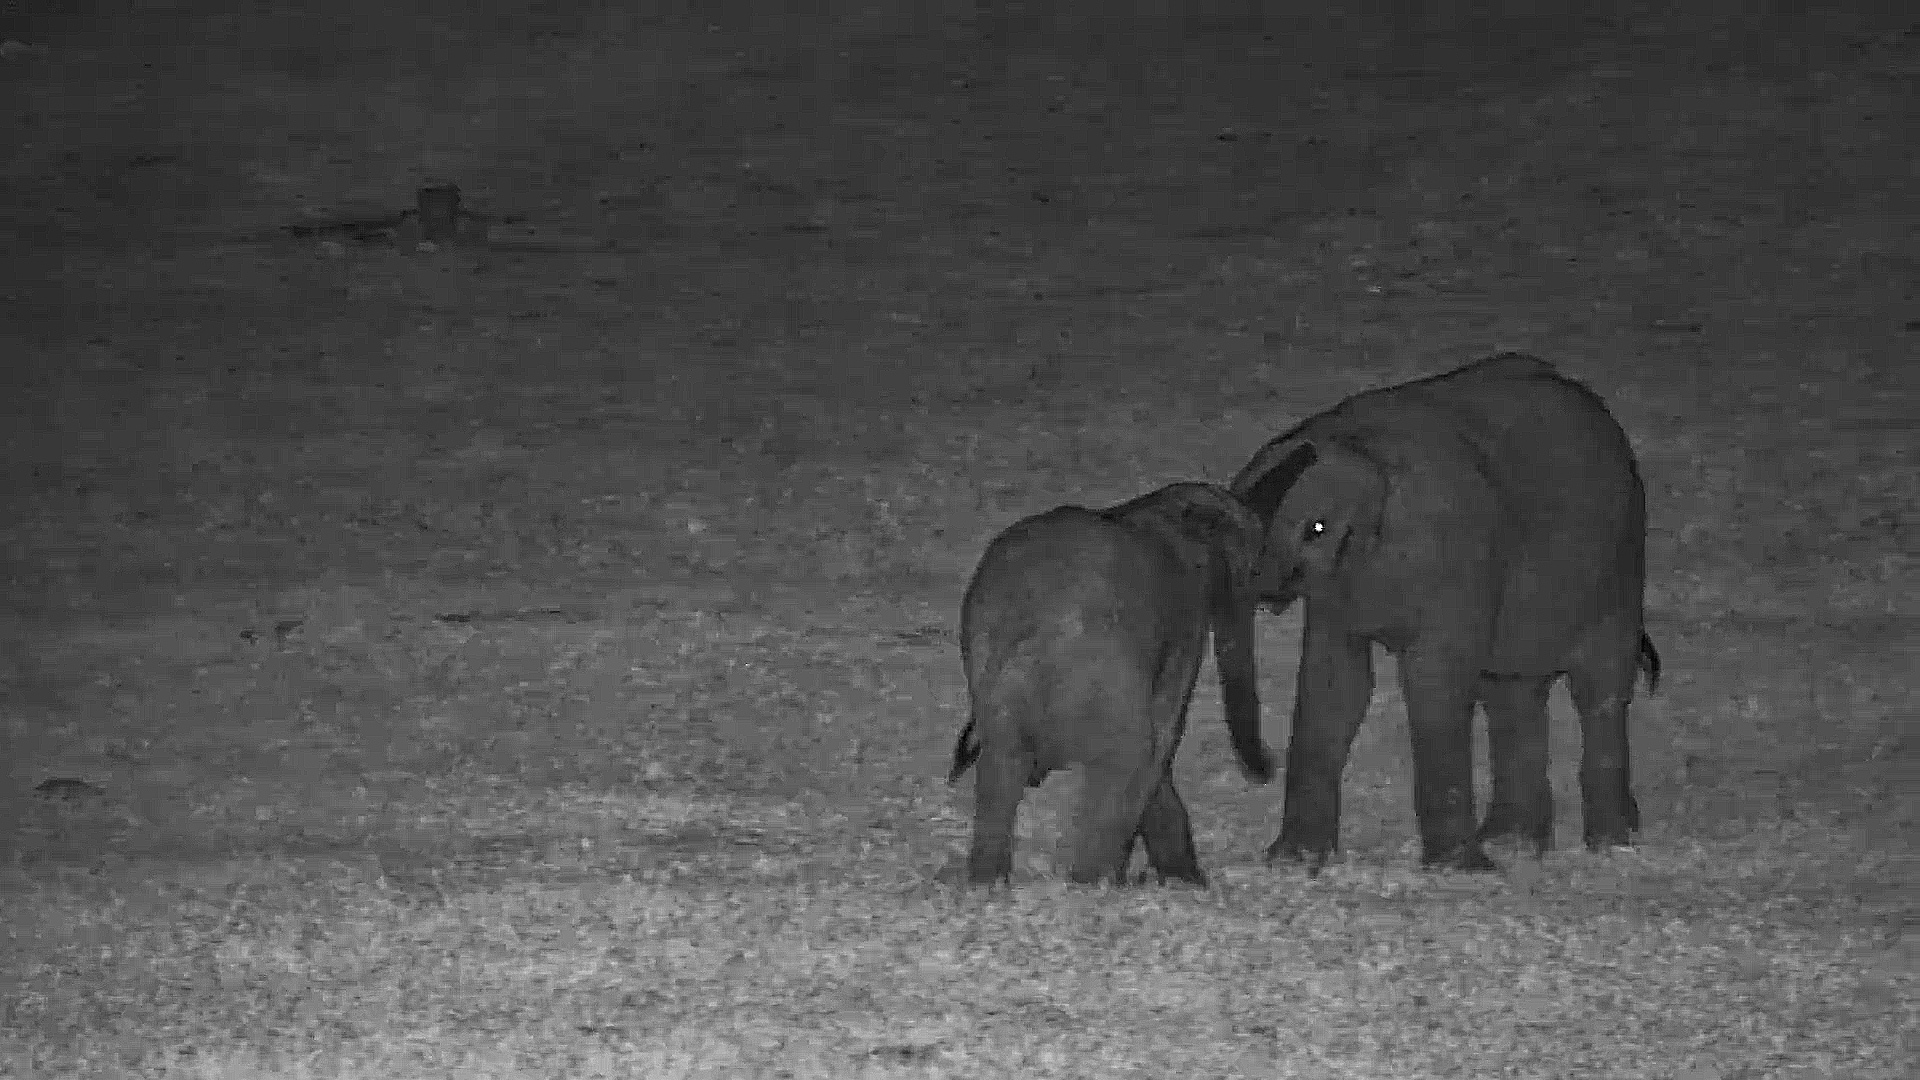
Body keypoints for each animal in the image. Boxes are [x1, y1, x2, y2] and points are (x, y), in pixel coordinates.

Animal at [947, 482, 1276, 886]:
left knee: (1000, 766)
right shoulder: (1186, 620)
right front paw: (1183, 880)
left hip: (1001, 697)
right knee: (1126, 759)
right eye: (1251, 570)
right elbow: (1164, 736)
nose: (1269, 768)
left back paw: (989, 883)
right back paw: (1095, 883)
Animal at [1231, 352, 1661, 873]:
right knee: (1511, 690)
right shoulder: (1341, 584)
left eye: (1317, 528)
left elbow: (1433, 680)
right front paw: (1293, 862)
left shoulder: (1457, 554)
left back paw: (1611, 844)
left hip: (1619, 561)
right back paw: (1513, 844)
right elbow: (1334, 683)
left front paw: (1456, 870)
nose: (1262, 769)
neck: (1360, 450)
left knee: (1599, 687)